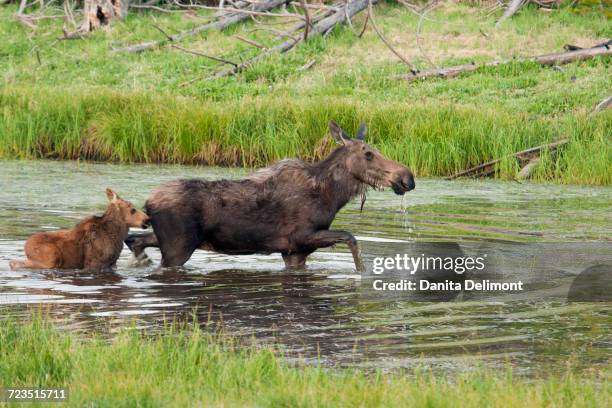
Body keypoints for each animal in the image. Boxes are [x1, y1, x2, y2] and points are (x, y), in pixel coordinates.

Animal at [128, 121, 416, 270]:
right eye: (368, 154)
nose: (407, 178)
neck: (332, 196)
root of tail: (148, 202)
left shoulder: (294, 252)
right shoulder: (301, 237)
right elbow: (351, 237)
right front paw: (362, 272)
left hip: (172, 239)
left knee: (135, 239)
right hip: (178, 248)